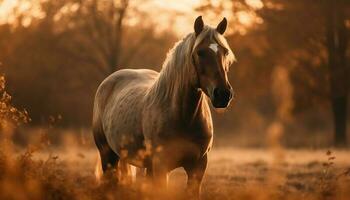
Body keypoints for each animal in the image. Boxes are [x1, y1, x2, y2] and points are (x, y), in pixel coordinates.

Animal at [92, 15, 235, 197]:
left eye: (225, 52)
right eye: (200, 52)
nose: (223, 94)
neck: (184, 117)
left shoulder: (198, 166)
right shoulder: (162, 165)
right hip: (108, 156)